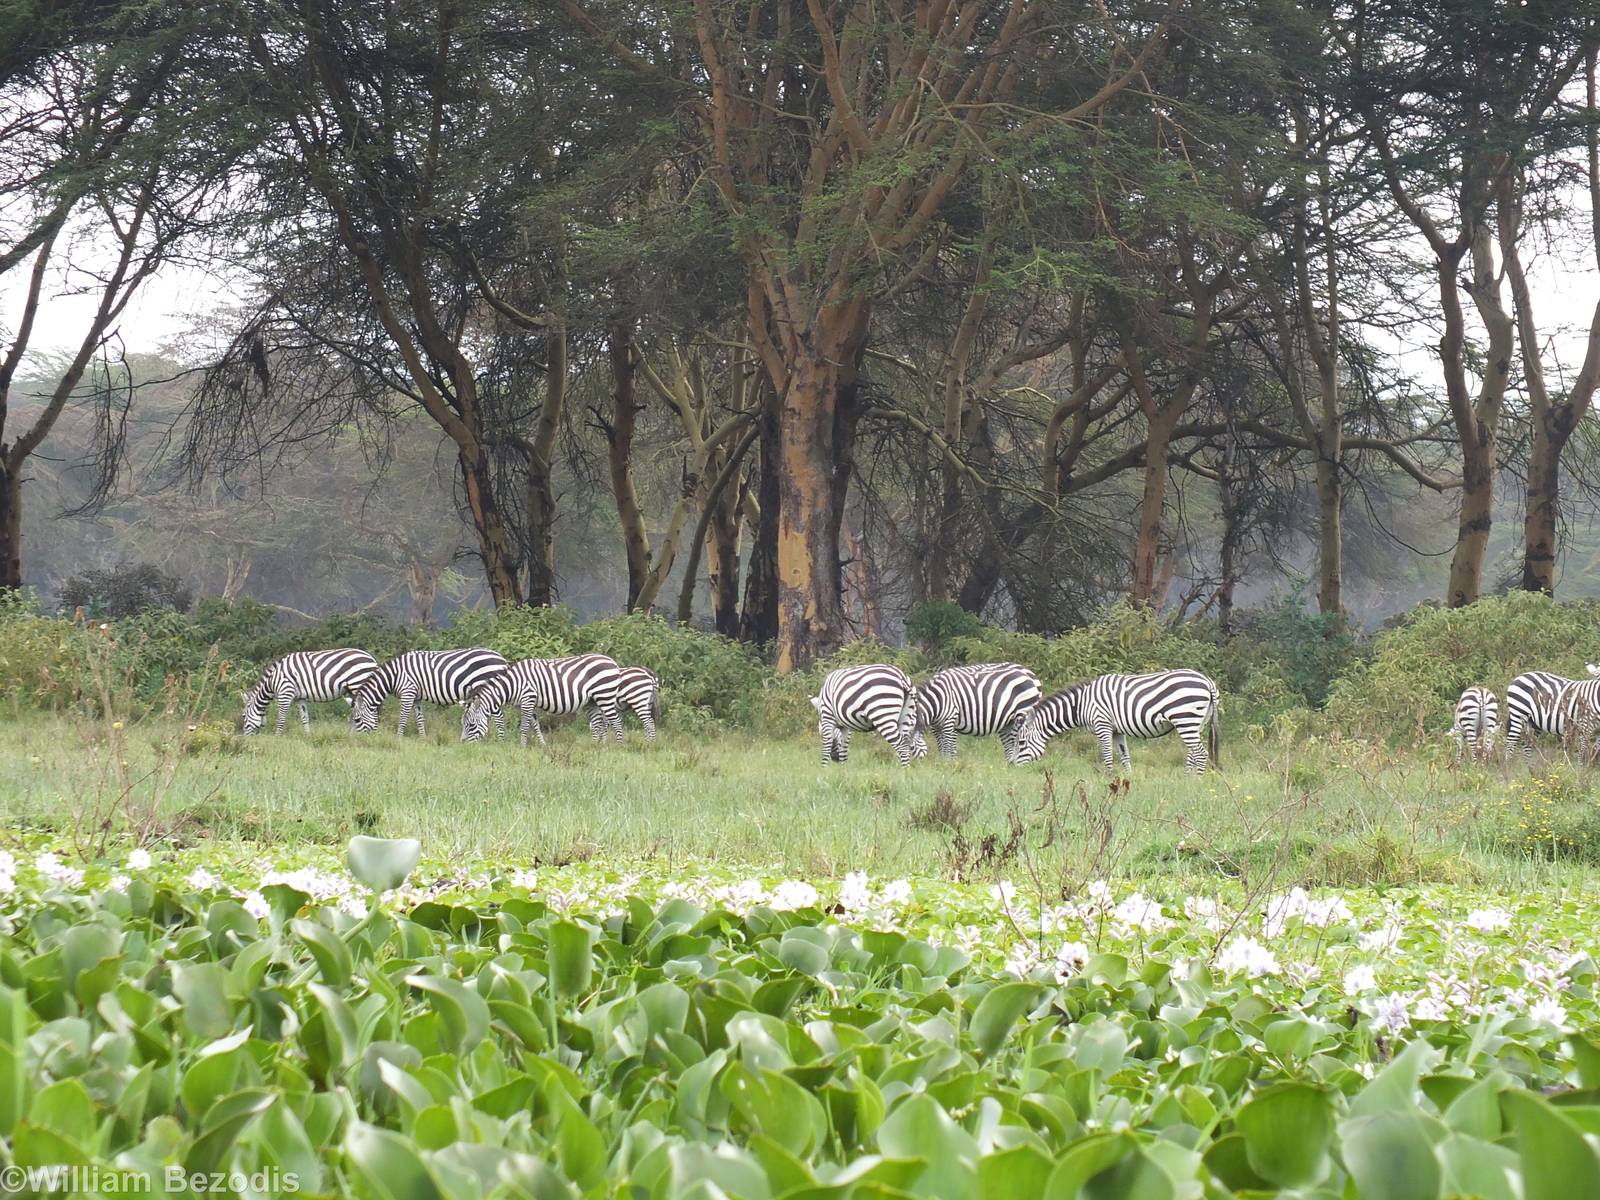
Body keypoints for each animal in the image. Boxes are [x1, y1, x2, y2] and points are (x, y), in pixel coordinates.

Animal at [241, 648, 379, 735]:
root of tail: (371, 658)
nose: (246, 738)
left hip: (359, 684)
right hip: (353, 691)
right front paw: (308, 737)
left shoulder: (285, 692)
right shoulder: (299, 698)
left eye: (243, 716)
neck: (272, 680)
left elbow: (281, 718)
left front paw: (277, 737)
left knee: (372, 712)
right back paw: (351, 736)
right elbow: (304, 718)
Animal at [349, 648, 510, 737]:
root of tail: (501, 658)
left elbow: (403, 718)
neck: (394, 676)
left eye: (356, 720)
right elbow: (420, 719)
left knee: (499, 717)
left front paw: (398, 738)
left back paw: (499, 740)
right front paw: (423, 739)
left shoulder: (408, 692)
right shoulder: (416, 697)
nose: (356, 741)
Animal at [462, 653, 622, 747]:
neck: (514, 684)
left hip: (605, 695)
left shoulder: (527, 699)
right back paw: (596, 746)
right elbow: (535, 726)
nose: (463, 746)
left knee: (616, 721)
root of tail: (612, 662)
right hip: (593, 701)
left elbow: (524, 726)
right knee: (598, 723)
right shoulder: (530, 703)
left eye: (471, 725)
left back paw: (619, 745)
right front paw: (543, 745)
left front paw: (522, 747)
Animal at [909, 663, 1042, 760]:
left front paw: (949, 764)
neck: (938, 699)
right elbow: (942, 745)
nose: (909, 770)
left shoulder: (951, 718)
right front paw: (944, 763)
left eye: (909, 747)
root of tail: (1030, 675)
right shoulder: (937, 725)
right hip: (1008, 721)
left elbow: (949, 745)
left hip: (1022, 713)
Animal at [1011, 669, 1221, 773]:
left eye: (1021, 743)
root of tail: (1208, 681)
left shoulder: (1102, 725)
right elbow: (1124, 756)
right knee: (1193, 753)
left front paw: (1109, 780)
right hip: (1197, 722)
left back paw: (1196, 783)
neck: (1081, 704)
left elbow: (1107, 756)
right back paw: (1187, 779)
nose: (1013, 769)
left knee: (1201, 754)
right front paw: (1127, 781)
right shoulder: (1117, 730)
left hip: (1185, 718)